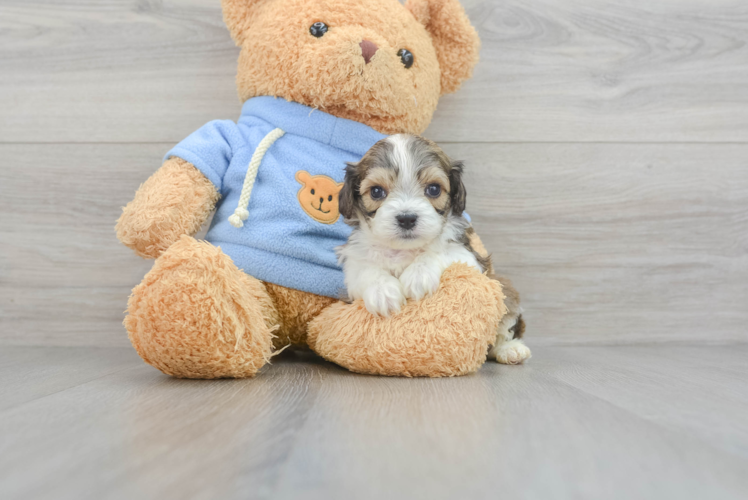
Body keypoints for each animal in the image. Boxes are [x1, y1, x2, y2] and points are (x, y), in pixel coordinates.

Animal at [336, 134, 528, 364]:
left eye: (434, 189)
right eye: (376, 192)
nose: (407, 218)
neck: (405, 250)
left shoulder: (470, 257)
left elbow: (440, 252)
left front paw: (419, 275)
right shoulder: (354, 264)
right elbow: (366, 270)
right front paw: (382, 292)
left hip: (505, 290)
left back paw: (510, 349)